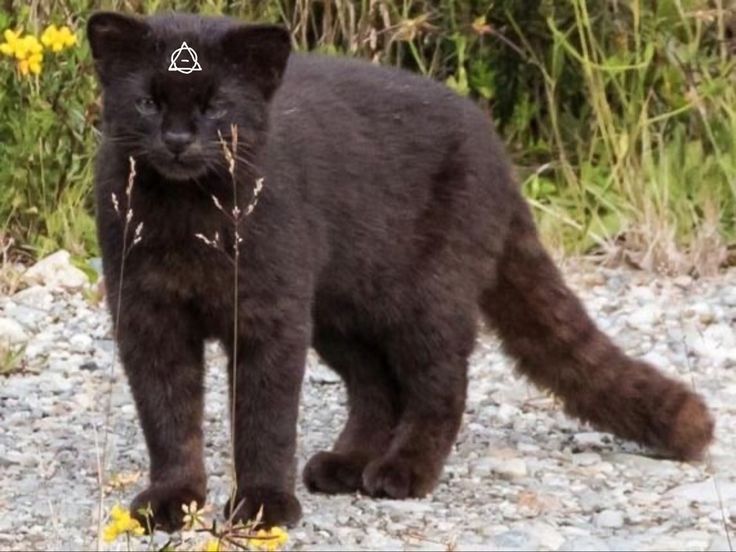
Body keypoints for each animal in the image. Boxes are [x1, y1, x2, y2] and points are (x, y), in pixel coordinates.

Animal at [86, 11, 712, 532]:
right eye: (147, 102)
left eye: (216, 104)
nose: (177, 139)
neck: (187, 214)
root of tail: (493, 147)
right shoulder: (148, 319)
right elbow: (169, 417)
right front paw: (171, 502)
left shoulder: (269, 317)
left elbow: (265, 418)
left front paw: (263, 506)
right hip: (345, 314)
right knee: (376, 387)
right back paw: (346, 466)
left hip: (425, 301)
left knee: (441, 384)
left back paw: (402, 473)